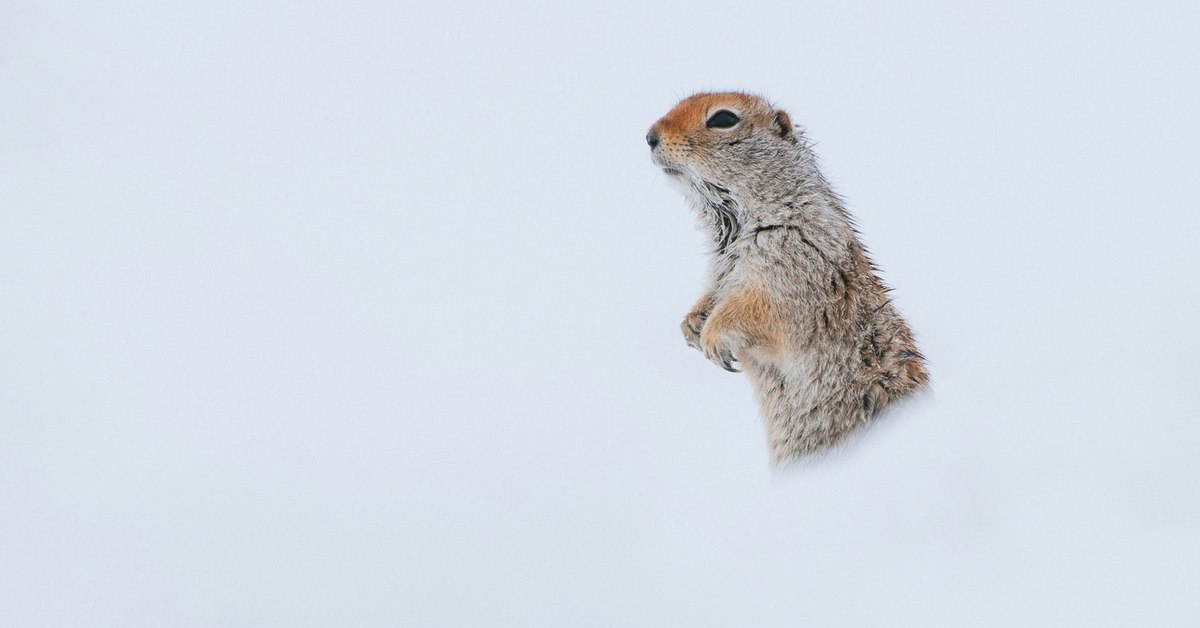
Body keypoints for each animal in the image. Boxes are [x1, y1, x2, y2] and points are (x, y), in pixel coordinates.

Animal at [648, 90, 926, 461]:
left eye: (723, 119)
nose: (649, 136)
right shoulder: (721, 272)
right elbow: (712, 293)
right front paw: (692, 323)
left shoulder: (795, 267)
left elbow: (759, 310)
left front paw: (712, 337)